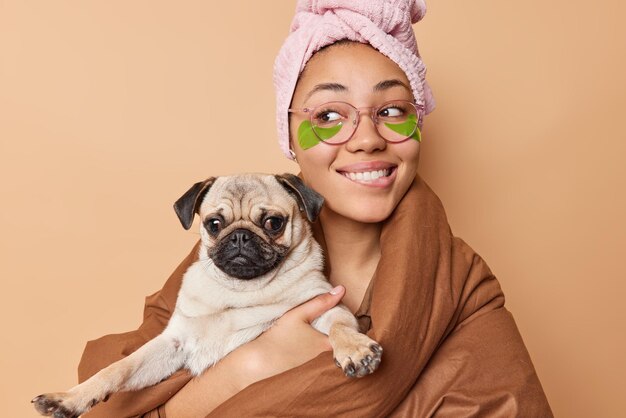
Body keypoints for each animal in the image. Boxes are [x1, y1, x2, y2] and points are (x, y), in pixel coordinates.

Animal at [34, 173, 380, 418]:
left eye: (273, 223)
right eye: (214, 224)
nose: (240, 236)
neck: (241, 290)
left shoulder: (326, 305)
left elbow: (340, 327)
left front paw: (355, 349)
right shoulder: (173, 343)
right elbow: (118, 368)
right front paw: (70, 398)